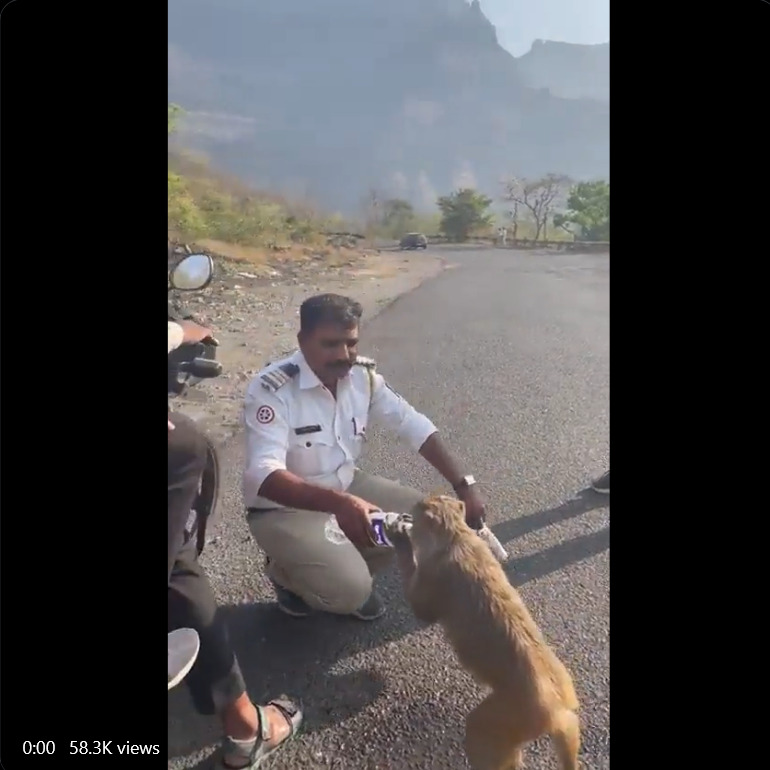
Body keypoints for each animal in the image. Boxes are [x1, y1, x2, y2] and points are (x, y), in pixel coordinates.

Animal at [388, 496, 580, 768]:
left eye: (418, 510)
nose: (408, 515)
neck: (456, 535)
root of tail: (557, 711)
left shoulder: (434, 574)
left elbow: (421, 608)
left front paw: (400, 539)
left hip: (506, 716)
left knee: (480, 732)